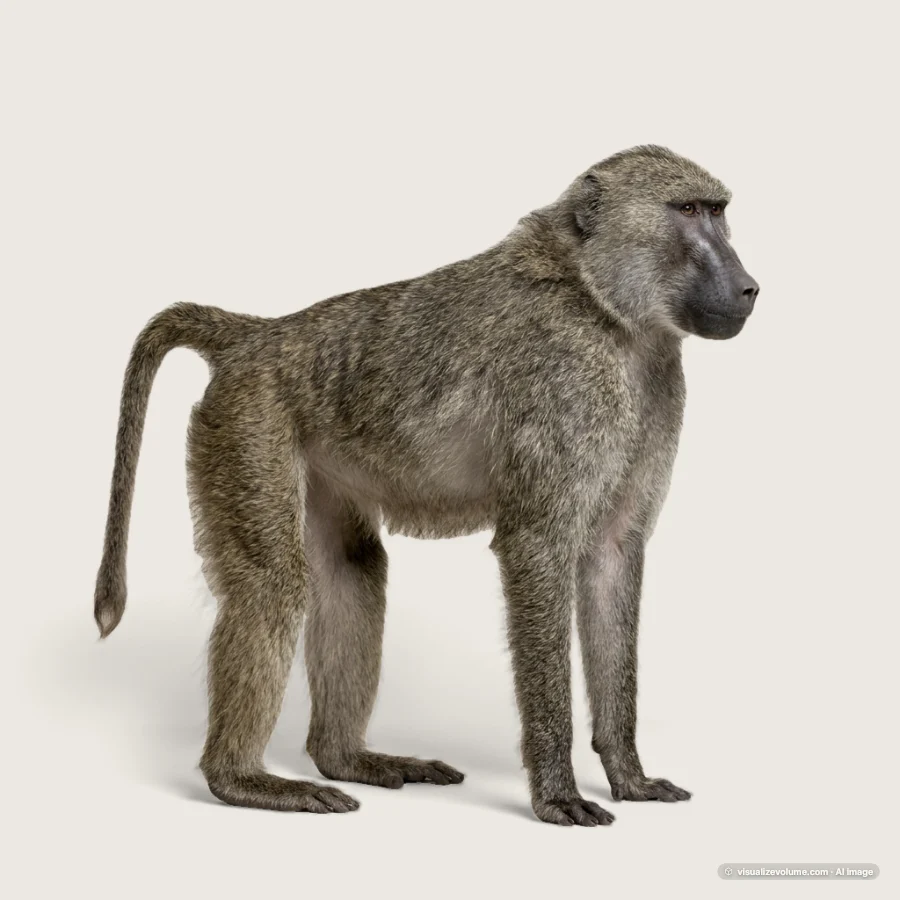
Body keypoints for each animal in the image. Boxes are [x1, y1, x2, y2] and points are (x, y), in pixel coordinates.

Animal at [94, 145, 758, 826]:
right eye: (687, 210)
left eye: (718, 211)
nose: (748, 287)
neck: (605, 309)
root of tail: (260, 335)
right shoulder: (565, 385)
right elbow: (538, 548)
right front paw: (556, 794)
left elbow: (611, 555)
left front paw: (628, 775)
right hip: (248, 420)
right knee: (272, 585)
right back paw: (243, 780)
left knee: (350, 569)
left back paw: (347, 759)